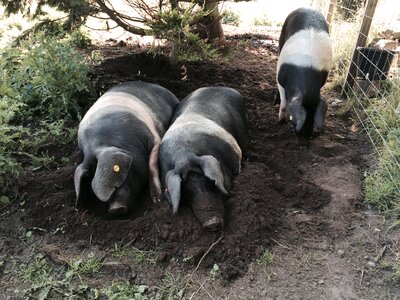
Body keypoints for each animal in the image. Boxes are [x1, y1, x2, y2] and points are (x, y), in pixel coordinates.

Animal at [276, 7, 332, 144]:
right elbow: (284, 103)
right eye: (294, 120)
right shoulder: (279, 78)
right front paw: (281, 122)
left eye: (313, 118)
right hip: (282, 36)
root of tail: (307, 8)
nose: (304, 143)